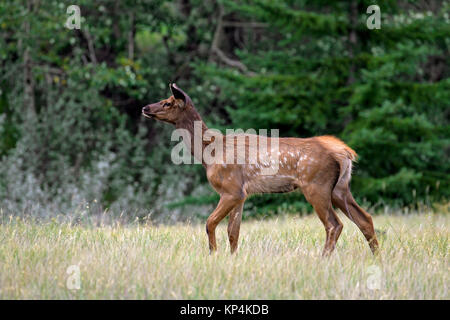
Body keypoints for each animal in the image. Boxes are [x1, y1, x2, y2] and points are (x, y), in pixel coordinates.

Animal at [142, 84, 378, 256]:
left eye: (167, 102)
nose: (145, 108)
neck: (210, 153)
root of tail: (344, 153)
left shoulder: (231, 189)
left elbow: (210, 223)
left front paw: (213, 254)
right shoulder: (241, 194)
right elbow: (233, 232)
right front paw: (232, 258)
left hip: (316, 185)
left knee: (334, 224)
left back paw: (324, 259)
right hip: (340, 188)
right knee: (364, 219)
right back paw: (377, 258)